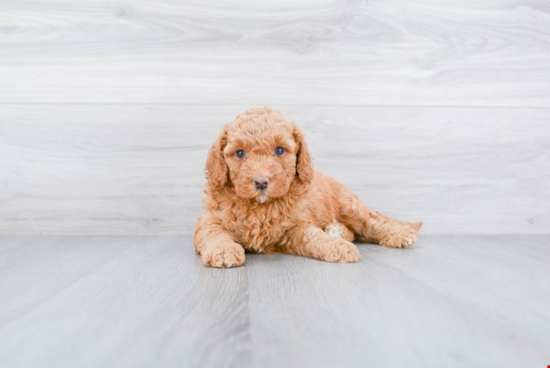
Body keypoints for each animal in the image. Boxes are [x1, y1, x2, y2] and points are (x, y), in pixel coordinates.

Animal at [196, 106, 424, 268]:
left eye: (280, 150)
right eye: (240, 153)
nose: (261, 182)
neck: (260, 207)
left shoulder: (296, 226)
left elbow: (313, 236)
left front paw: (337, 246)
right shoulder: (210, 219)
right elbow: (214, 233)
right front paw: (223, 251)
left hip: (349, 205)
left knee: (372, 221)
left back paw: (398, 234)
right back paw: (337, 231)